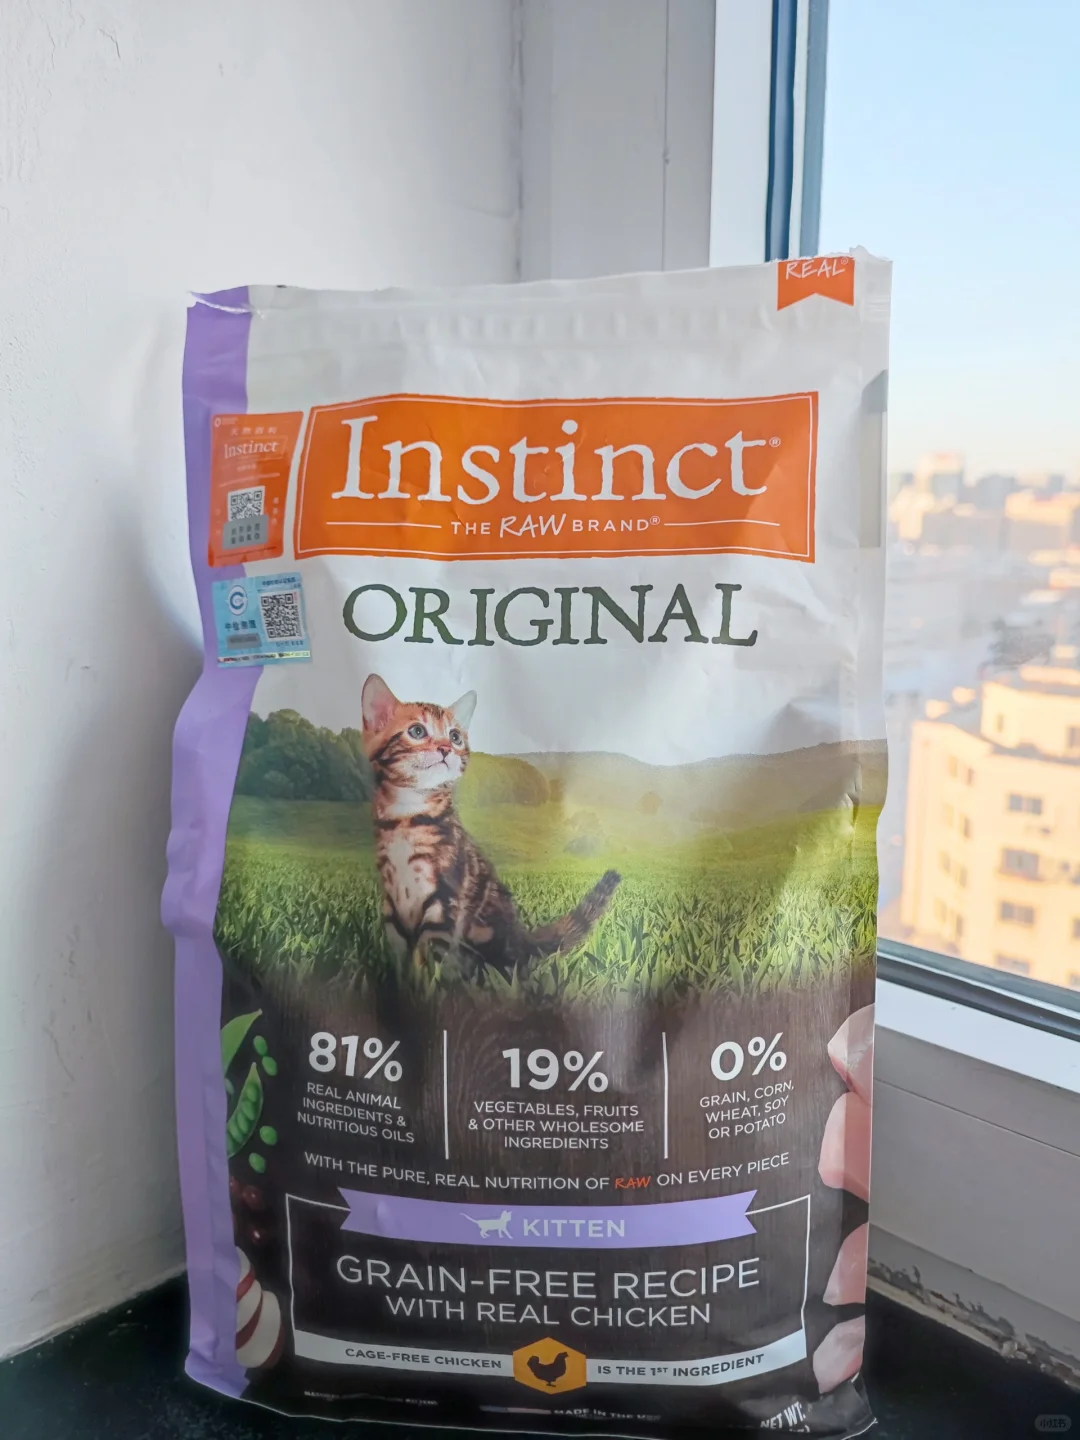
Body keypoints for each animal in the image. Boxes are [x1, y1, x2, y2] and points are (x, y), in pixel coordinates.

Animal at [360, 673, 620, 976]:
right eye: (417, 731)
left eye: (455, 736)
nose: (446, 748)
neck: (406, 818)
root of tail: (522, 938)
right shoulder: (391, 905)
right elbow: (400, 957)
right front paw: (399, 981)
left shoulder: (443, 901)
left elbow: (428, 960)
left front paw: (423, 984)